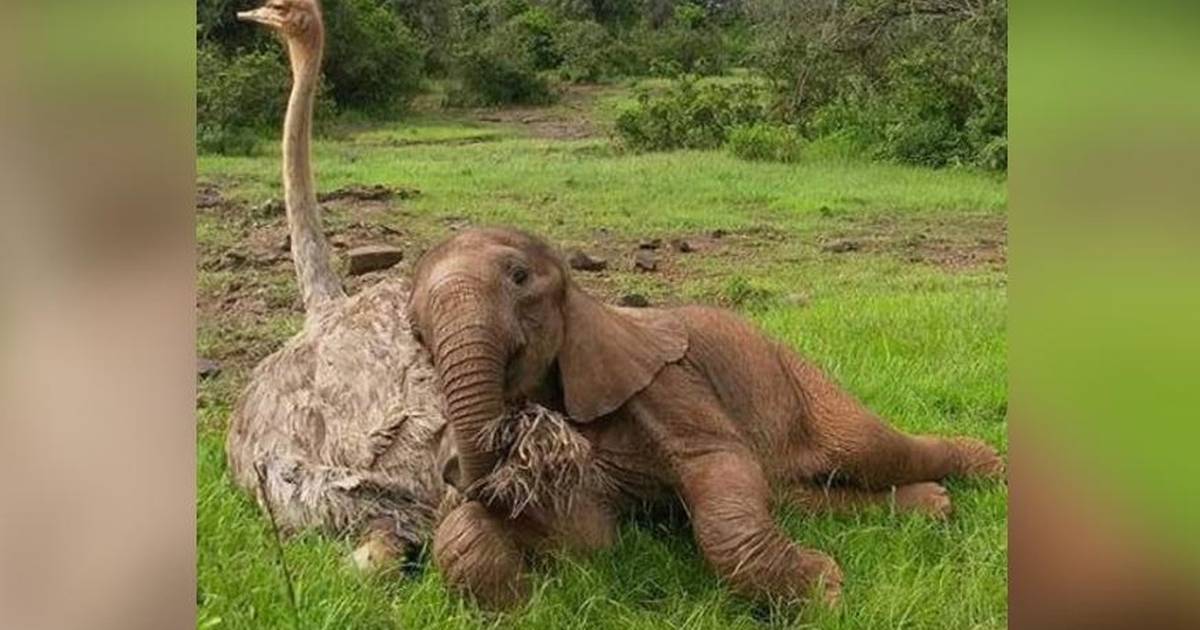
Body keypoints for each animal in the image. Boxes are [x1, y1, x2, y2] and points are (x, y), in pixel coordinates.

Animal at [412, 228, 1003, 607]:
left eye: (519, 277)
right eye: (416, 330)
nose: (452, 472)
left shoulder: (667, 382)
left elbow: (717, 464)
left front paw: (826, 592)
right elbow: (588, 536)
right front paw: (525, 598)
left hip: (796, 378)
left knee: (869, 449)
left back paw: (986, 466)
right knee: (788, 492)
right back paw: (934, 504)